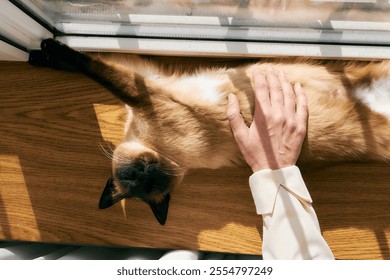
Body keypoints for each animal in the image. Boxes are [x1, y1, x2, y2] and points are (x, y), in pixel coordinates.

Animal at [29, 38, 390, 224]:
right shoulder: (148, 82)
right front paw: (43, 52)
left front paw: (46, 50)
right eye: (141, 180)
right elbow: (95, 66)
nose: (146, 170)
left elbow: (91, 65)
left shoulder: (144, 88)